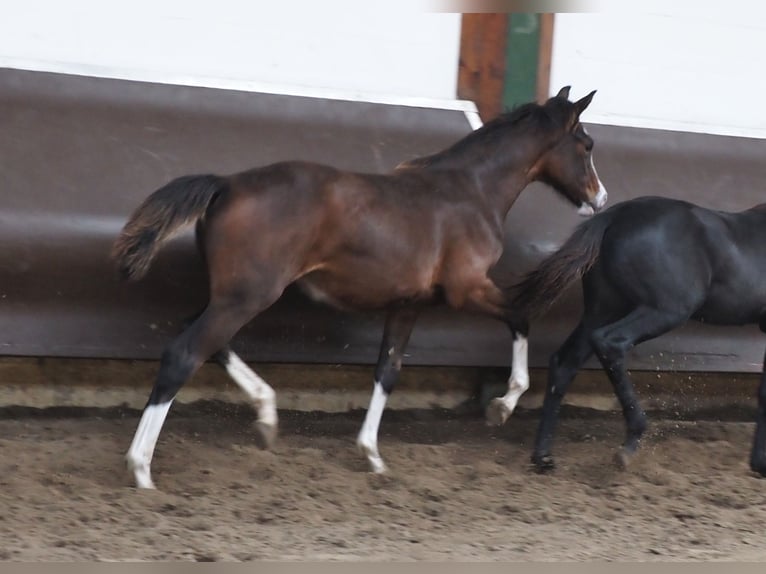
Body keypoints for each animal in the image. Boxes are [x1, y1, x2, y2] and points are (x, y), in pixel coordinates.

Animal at [114, 86, 608, 490]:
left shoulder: (409, 304)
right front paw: (503, 404)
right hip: (247, 296)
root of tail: (226, 185)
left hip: (232, 296)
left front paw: (372, 455)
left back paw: (267, 414)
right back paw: (141, 468)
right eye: (586, 145)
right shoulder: (468, 289)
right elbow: (521, 316)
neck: (471, 191)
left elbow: (387, 370)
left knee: (206, 341)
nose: (600, 199)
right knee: (185, 353)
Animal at [512, 196, 766, 480]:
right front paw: (760, 463)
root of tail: (617, 215)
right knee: (610, 343)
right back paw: (630, 442)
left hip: (602, 309)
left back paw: (543, 457)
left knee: (564, 362)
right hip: (665, 309)